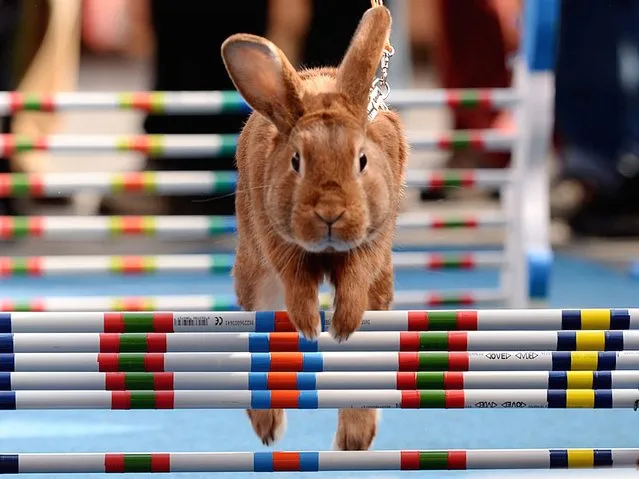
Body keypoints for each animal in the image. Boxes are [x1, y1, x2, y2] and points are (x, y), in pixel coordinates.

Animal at [222, 5, 408, 452]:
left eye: (362, 160)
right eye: (296, 161)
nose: (329, 213)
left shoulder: (372, 243)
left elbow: (356, 278)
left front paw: (342, 326)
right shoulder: (277, 243)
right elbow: (298, 285)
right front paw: (309, 326)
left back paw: (354, 440)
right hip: (255, 280)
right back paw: (267, 429)